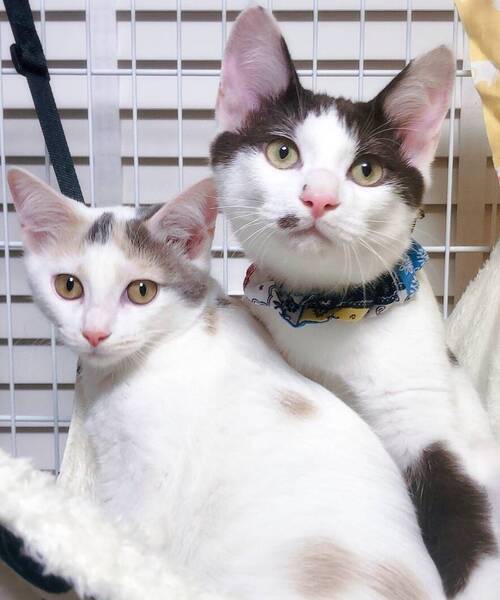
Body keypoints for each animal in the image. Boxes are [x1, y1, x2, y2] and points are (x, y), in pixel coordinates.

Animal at [211, 6, 500, 599]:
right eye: (282, 152)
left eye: (367, 170)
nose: (318, 198)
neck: (330, 312)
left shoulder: (428, 411)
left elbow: (460, 507)